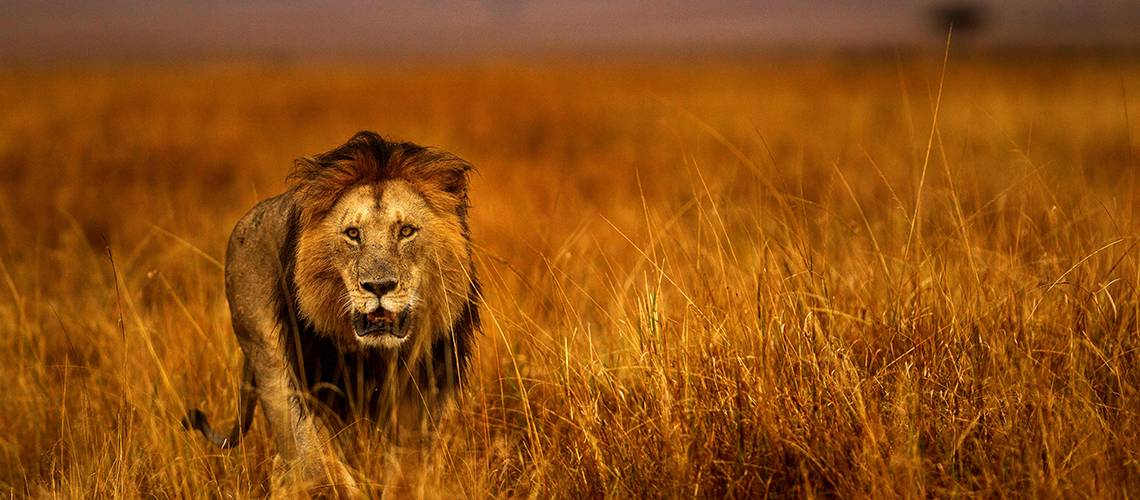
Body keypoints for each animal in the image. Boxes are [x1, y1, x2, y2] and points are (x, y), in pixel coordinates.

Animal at [182, 131, 479, 496]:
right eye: (352, 234)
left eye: (406, 231)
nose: (378, 286)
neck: (376, 357)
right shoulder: (308, 385)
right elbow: (319, 462)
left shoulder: (424, 391)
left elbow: (407, 470)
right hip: (268, 359)